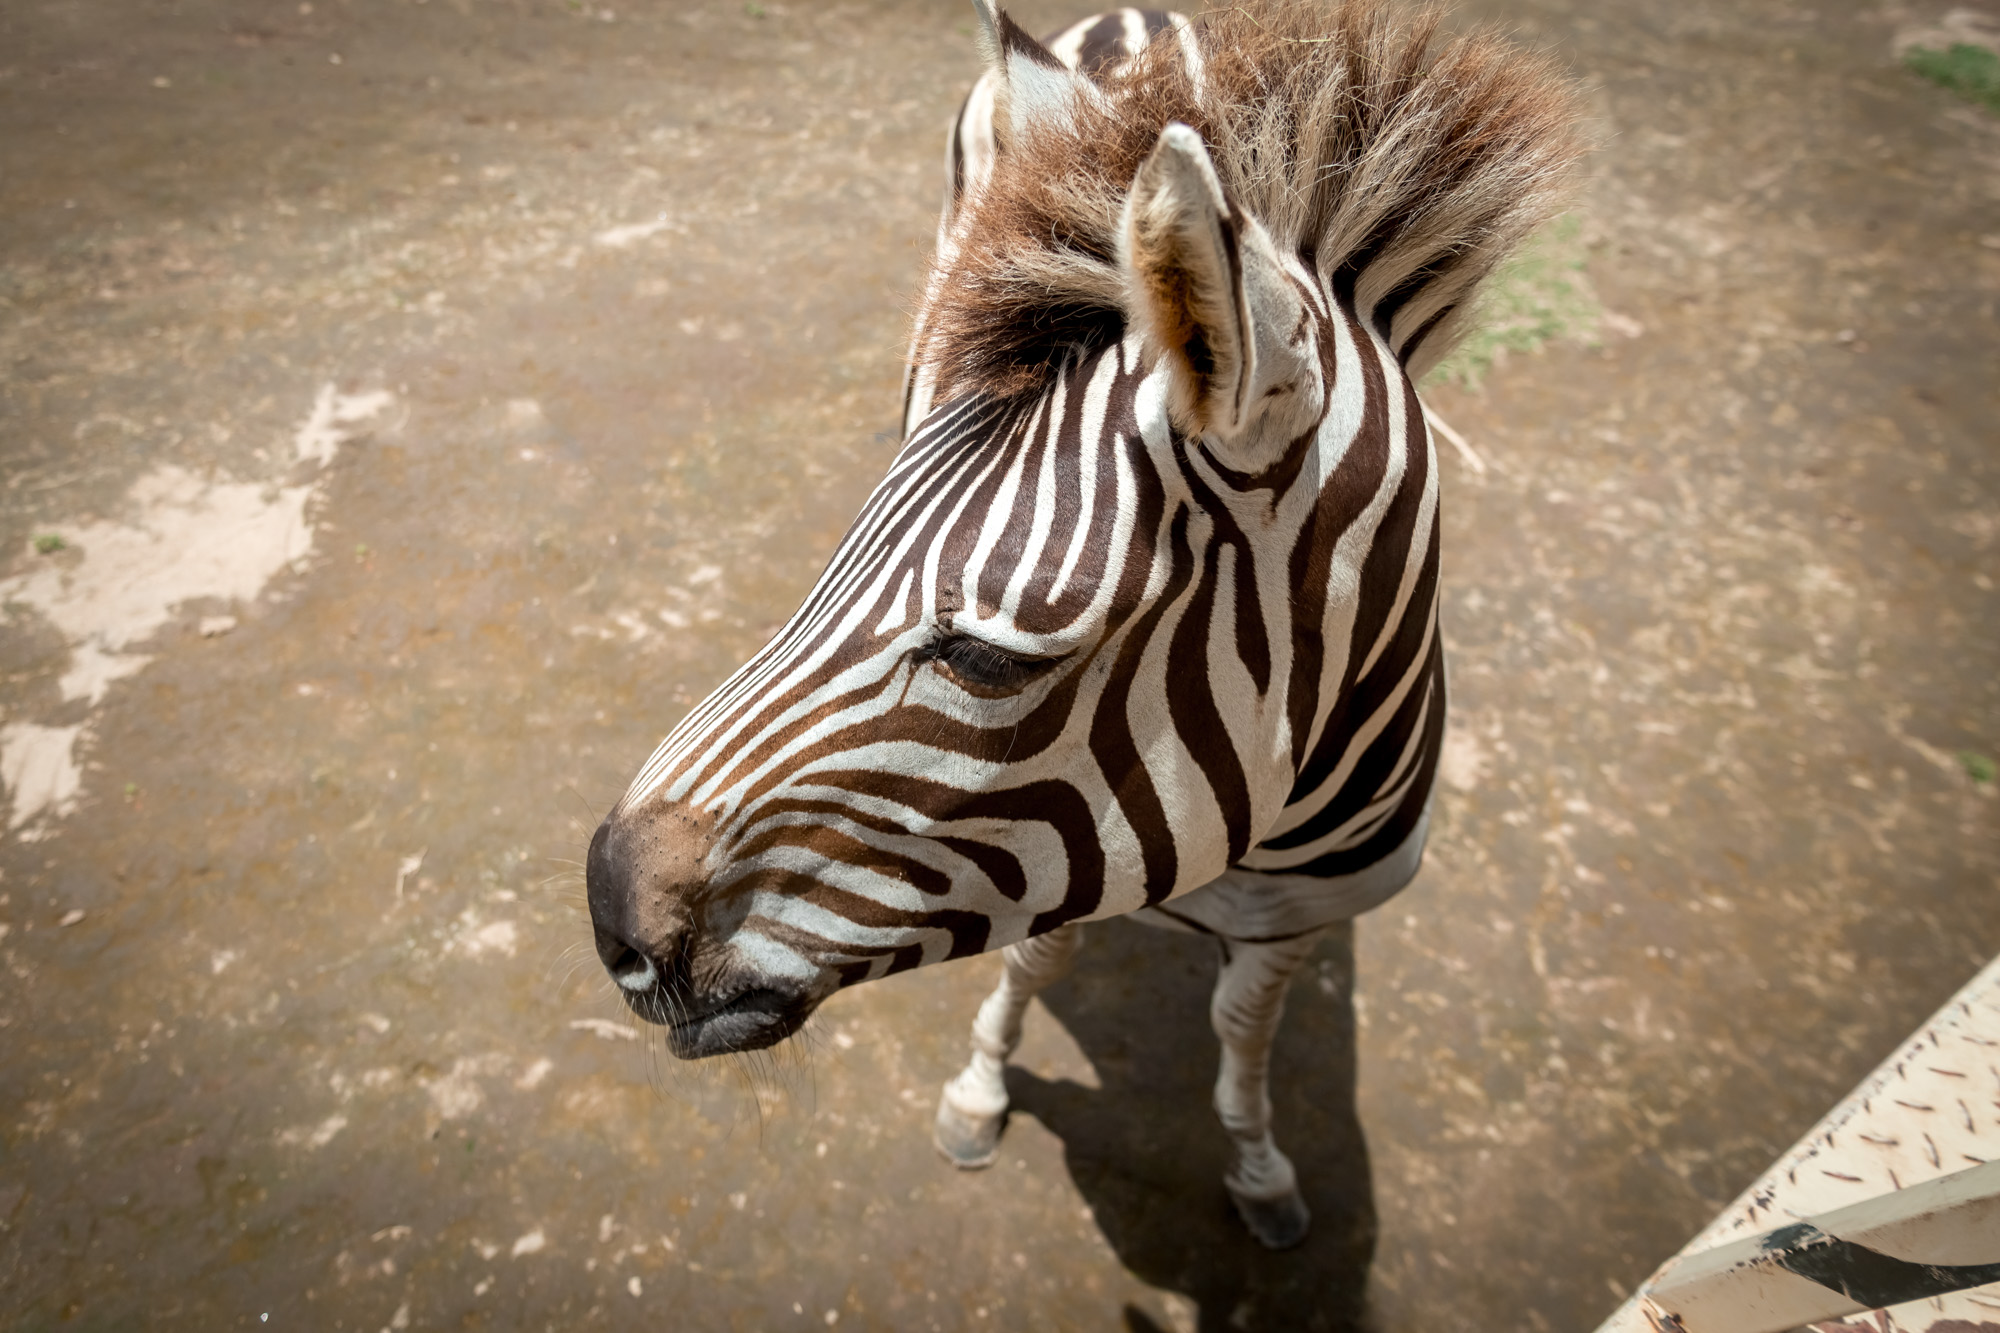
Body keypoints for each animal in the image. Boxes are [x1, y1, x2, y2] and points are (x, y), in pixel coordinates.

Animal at [585, 0, 1581, 1249]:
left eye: (984, 656)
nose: (604, 912)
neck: (1263, 828)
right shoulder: (1060, 854)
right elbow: (1032, 967)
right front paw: (978, 1091)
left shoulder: (1289, 916)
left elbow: (1242, 1034)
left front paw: (1258, 1166)